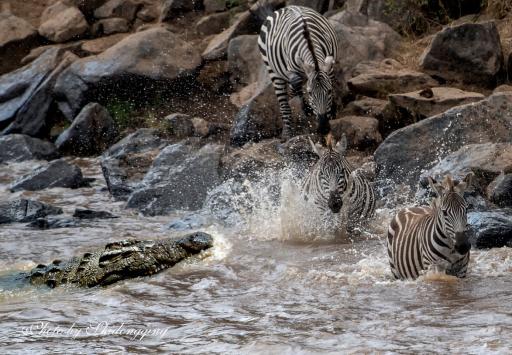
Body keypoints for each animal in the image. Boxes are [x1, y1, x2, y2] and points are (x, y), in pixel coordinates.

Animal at [258, 4, 338, 141]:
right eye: (310, 93)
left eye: (329, 91)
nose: (323, 128)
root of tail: (283, 8)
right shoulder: (293, 71)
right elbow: (296, 86)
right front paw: (306, 108)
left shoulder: (329, 67)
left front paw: (332, 110)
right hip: (273, 71)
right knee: (284, 103)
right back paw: (287, 132)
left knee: (291, 91)